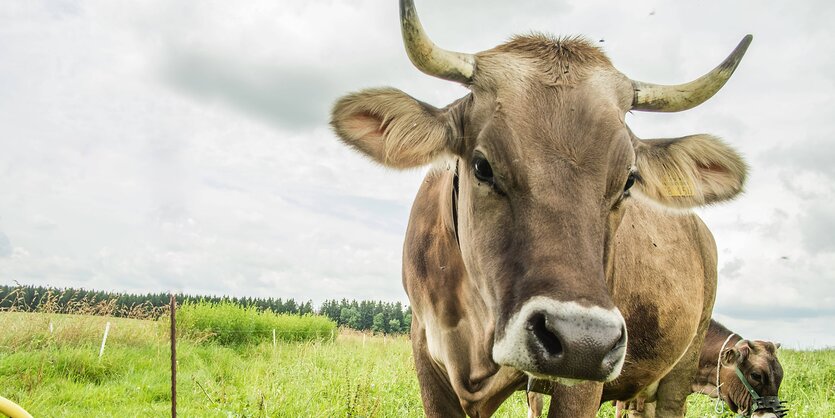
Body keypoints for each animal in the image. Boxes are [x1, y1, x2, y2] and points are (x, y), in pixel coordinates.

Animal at [330, 1, 756, 416]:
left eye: (629, 180)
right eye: (482, 166)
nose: (582, 341)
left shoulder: (584, 382)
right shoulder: (426, 356)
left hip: (679, 368)